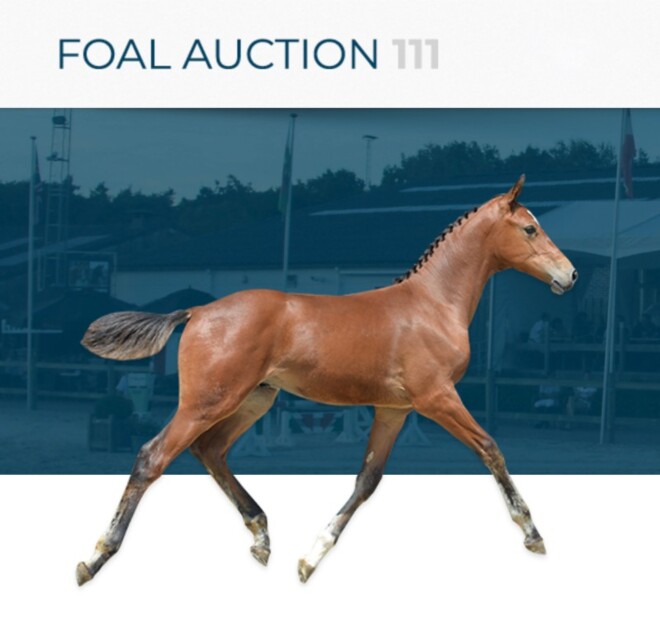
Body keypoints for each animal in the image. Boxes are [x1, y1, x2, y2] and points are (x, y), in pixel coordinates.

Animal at [76, 175, 577, 586]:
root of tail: (196, 310)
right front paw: (532, 533)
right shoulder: (436, 397)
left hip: (254, 400)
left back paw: (261, 536)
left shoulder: (395, 409)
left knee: (210, 451)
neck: (433, 304)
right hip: (207, 401)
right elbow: (491, 449)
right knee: (152, 456)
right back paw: (95, 558)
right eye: (530, 229)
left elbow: (367, 481)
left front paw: (310, 558)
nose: (569, 274)